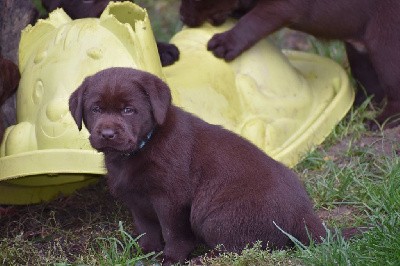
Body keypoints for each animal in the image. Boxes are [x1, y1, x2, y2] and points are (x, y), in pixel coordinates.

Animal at [181, 0, 400, 127]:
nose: (182, 16)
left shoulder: (280, 7)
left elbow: (253, 21)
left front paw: (227, 42)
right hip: (359, 52)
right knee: (372, 87)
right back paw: (353, 111)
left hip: (386, 46)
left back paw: (381, 121)